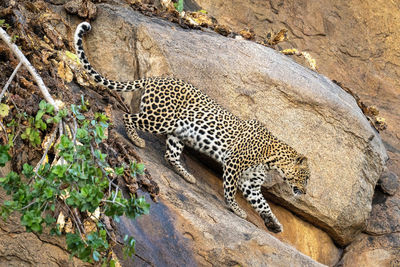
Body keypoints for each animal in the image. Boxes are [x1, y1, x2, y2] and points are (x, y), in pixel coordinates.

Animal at [76, 22, 312, 233]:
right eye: (306, 177)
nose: (304, 193)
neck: (272, 160)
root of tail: (155, 79)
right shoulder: (234, 164)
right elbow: (230, 190)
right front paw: (236, 210)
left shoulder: (251, 184)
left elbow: (263, 204)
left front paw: (274, 223)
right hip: (161, 119)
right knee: (128, 116)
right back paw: (136, 139)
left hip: (178, 132)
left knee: (170, 155)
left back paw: (187, 176)